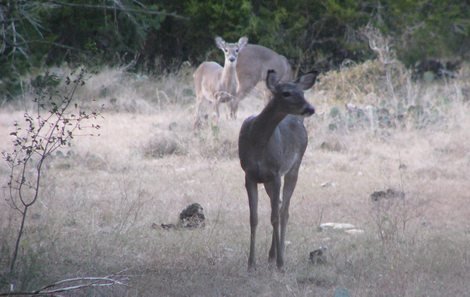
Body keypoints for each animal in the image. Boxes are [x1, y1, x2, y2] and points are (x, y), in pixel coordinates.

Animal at [239, 69, 316, 268]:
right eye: (286, 93)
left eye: (302, 92)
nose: (310, 108)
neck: (257, 141)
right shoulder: (249, 174)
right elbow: (253, 218)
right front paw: (251, 263)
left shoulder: (276, 173)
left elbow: (275, 217)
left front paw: (281, 264)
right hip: (268, 180)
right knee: (280, 205)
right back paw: (272, 255)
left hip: (293, 168)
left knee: (284, 211)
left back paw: (279, 257)